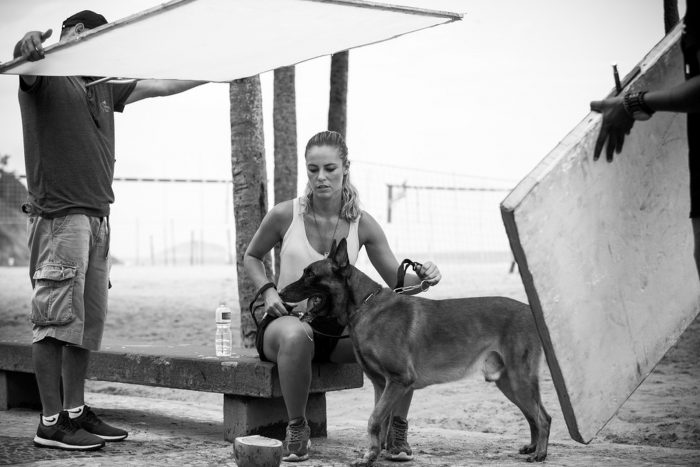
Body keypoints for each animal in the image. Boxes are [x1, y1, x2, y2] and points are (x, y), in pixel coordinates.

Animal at [280, 239, 552, 466]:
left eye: (310, 274)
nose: (280, 293)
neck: (366, 306)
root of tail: (530, 311)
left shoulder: (399, 381)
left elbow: (373, 420)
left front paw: (369, 456)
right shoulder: (382, 385)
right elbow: (380, 422)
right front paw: (375, 453)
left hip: (518, 380)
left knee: (543, 417)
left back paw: (540, 453)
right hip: (508, 382)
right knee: (534, 415)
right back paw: (532, 447)